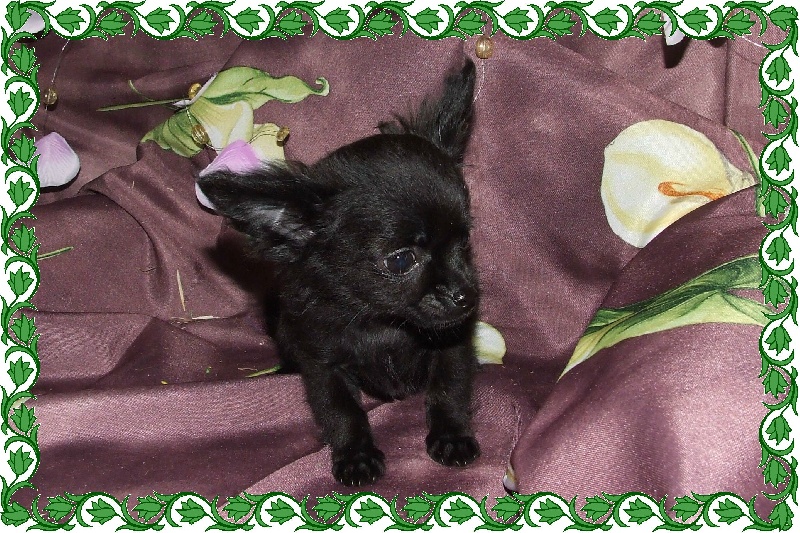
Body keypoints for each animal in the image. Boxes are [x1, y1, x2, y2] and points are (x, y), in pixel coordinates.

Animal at [198, 59, 480, 486]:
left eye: (464, 243)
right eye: (401, 261)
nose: (466, 296)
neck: (382, 324)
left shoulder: (453, 344)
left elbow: (449, 387)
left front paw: (451, 436)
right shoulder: (322, 365)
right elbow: (342, 410)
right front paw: (356, 456)